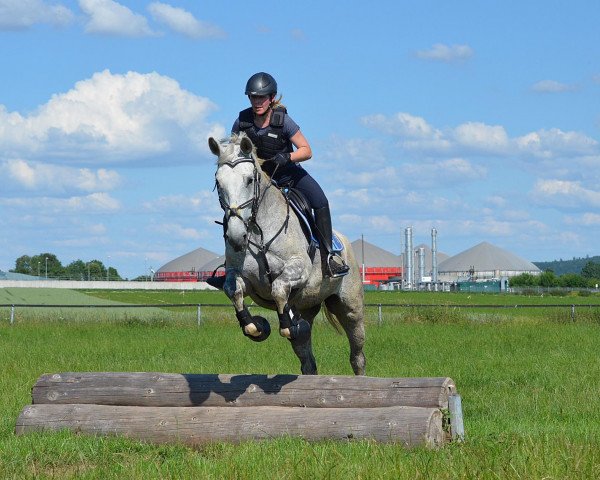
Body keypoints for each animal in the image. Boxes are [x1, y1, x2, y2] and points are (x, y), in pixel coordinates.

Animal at [206, 132, 366, 376]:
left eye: (249, 180)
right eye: (218, 182)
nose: (235, 237)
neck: (258, 229)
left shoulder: (298, 268)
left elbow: (279, 288)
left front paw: (287, 327)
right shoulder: (240, 276)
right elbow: (233, 291)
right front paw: (256, 326)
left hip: (349, 307)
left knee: (357, 354)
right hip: (307, 304)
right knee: (307, 357)